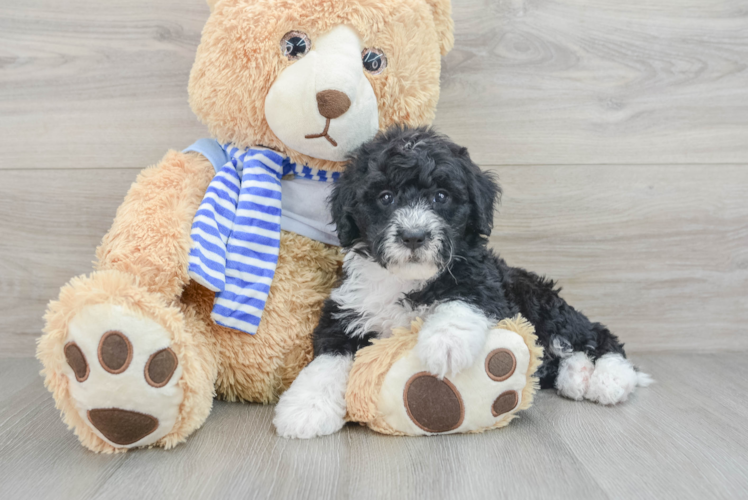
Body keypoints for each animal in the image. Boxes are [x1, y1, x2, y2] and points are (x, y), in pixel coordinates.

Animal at [274, 127, 648, 440]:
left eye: (441, 196)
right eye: (385, 197)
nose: (414, 236)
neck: (408, 280)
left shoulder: (486, 285)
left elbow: (462, 299)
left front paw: (445, 344)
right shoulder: (346, 310)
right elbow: (328, 358)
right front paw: (306, 407)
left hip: (538, 300)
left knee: (595, 335)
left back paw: (609, 378)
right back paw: (576, 375)